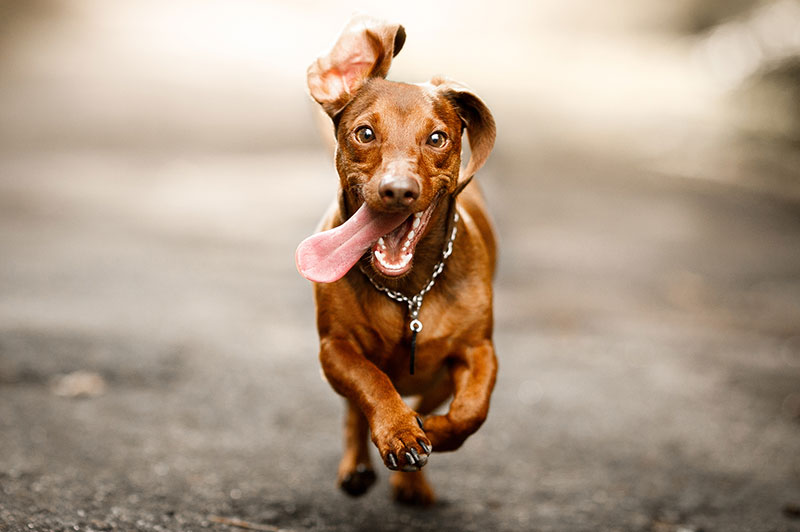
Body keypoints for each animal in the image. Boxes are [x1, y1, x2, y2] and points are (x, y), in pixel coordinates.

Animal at [296, 16, 494, 504]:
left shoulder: (478, 349)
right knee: (354, 410)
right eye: (365, 133)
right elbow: (372, 383)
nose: (398, 190)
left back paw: (413, 481)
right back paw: (357, 466)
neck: (408, 291)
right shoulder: (335, 349)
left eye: (437, 138)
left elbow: (471, 412)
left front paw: (432, 431)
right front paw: (400, 431)